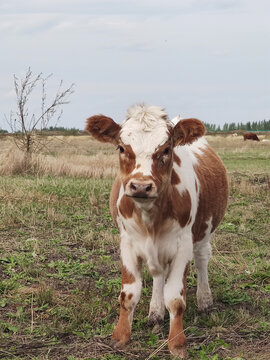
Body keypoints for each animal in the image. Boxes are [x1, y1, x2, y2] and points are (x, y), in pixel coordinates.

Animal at [85, 103, 228, 358]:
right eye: (122, 148)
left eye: (166, 149)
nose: (141, 186)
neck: (150, 217)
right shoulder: (128, 244)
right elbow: (129, 293)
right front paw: (120, 336)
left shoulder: (183, 246)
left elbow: (176, 299)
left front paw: (177, 343)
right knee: (160, 274)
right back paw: (155, 311)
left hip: (204, 232)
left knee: (202, 260)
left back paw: (204, 300)